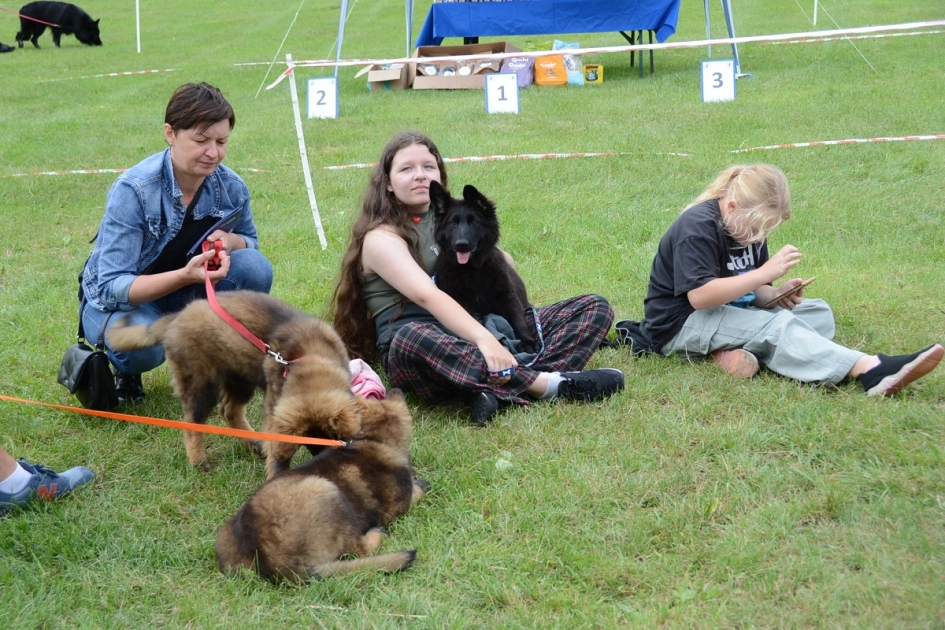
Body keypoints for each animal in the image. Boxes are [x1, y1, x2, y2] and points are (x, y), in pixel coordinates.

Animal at [107, 292, 362, 478]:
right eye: (308, 442)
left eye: (332, 436)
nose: (325, 461)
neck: (309, 358)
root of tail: (177, 316)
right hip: (202, 383)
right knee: (192, 422)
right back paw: (199, 461)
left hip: (240, 377)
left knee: (229, 411)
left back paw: (253, 444)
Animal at [214, 390, 424, 588]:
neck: (374, 440)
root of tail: (273, 561)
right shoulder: (398, 505)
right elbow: (416, 493)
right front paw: (421, 485)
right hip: (326, 490)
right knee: (358, 548)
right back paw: (379, 534)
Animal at [430, 181, 540, 356]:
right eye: (453, 223)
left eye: (474, 222)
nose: (461, 245)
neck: (471, 271)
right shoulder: (462, 304)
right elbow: (479, 326)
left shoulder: (507, 296)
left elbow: (518, 320)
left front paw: (528, 342)